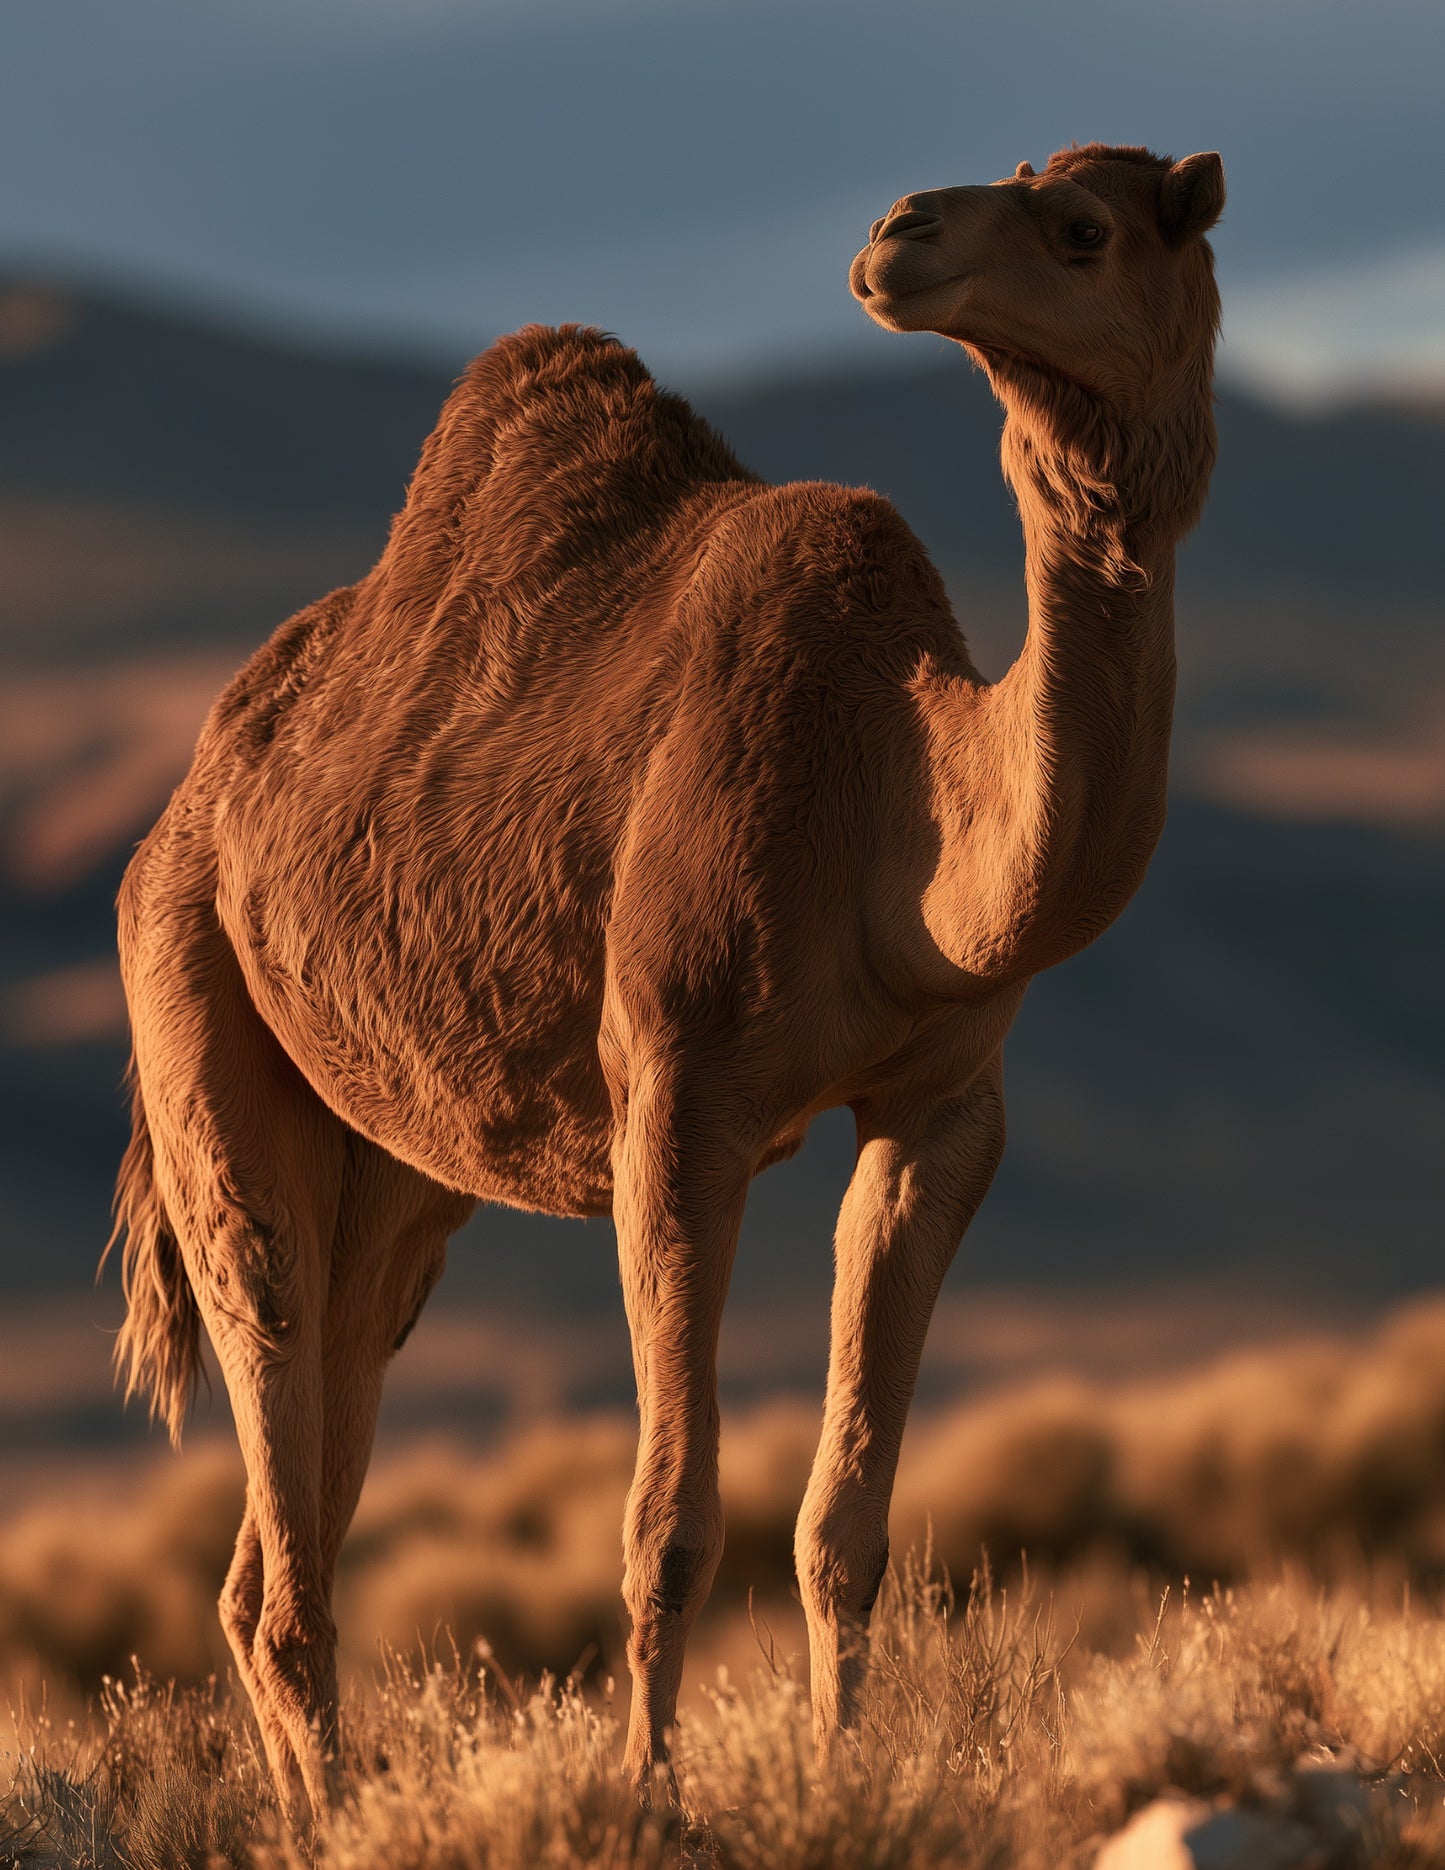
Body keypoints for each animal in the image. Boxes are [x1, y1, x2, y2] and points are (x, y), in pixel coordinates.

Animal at [105, 141, 1224, 1817]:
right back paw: (340, 1814)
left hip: (394, 1179)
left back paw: (325, 1805)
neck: (899, 795)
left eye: (1082, 225)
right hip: (190, 997)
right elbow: (670, 1516)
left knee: (279, 1518)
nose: (897, 234)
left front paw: (840, 1772)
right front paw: (648, 1793)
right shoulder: (681, 1097)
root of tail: (180, 811)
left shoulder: (943, 1104)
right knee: (271, 1384)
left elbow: (845, 1522)